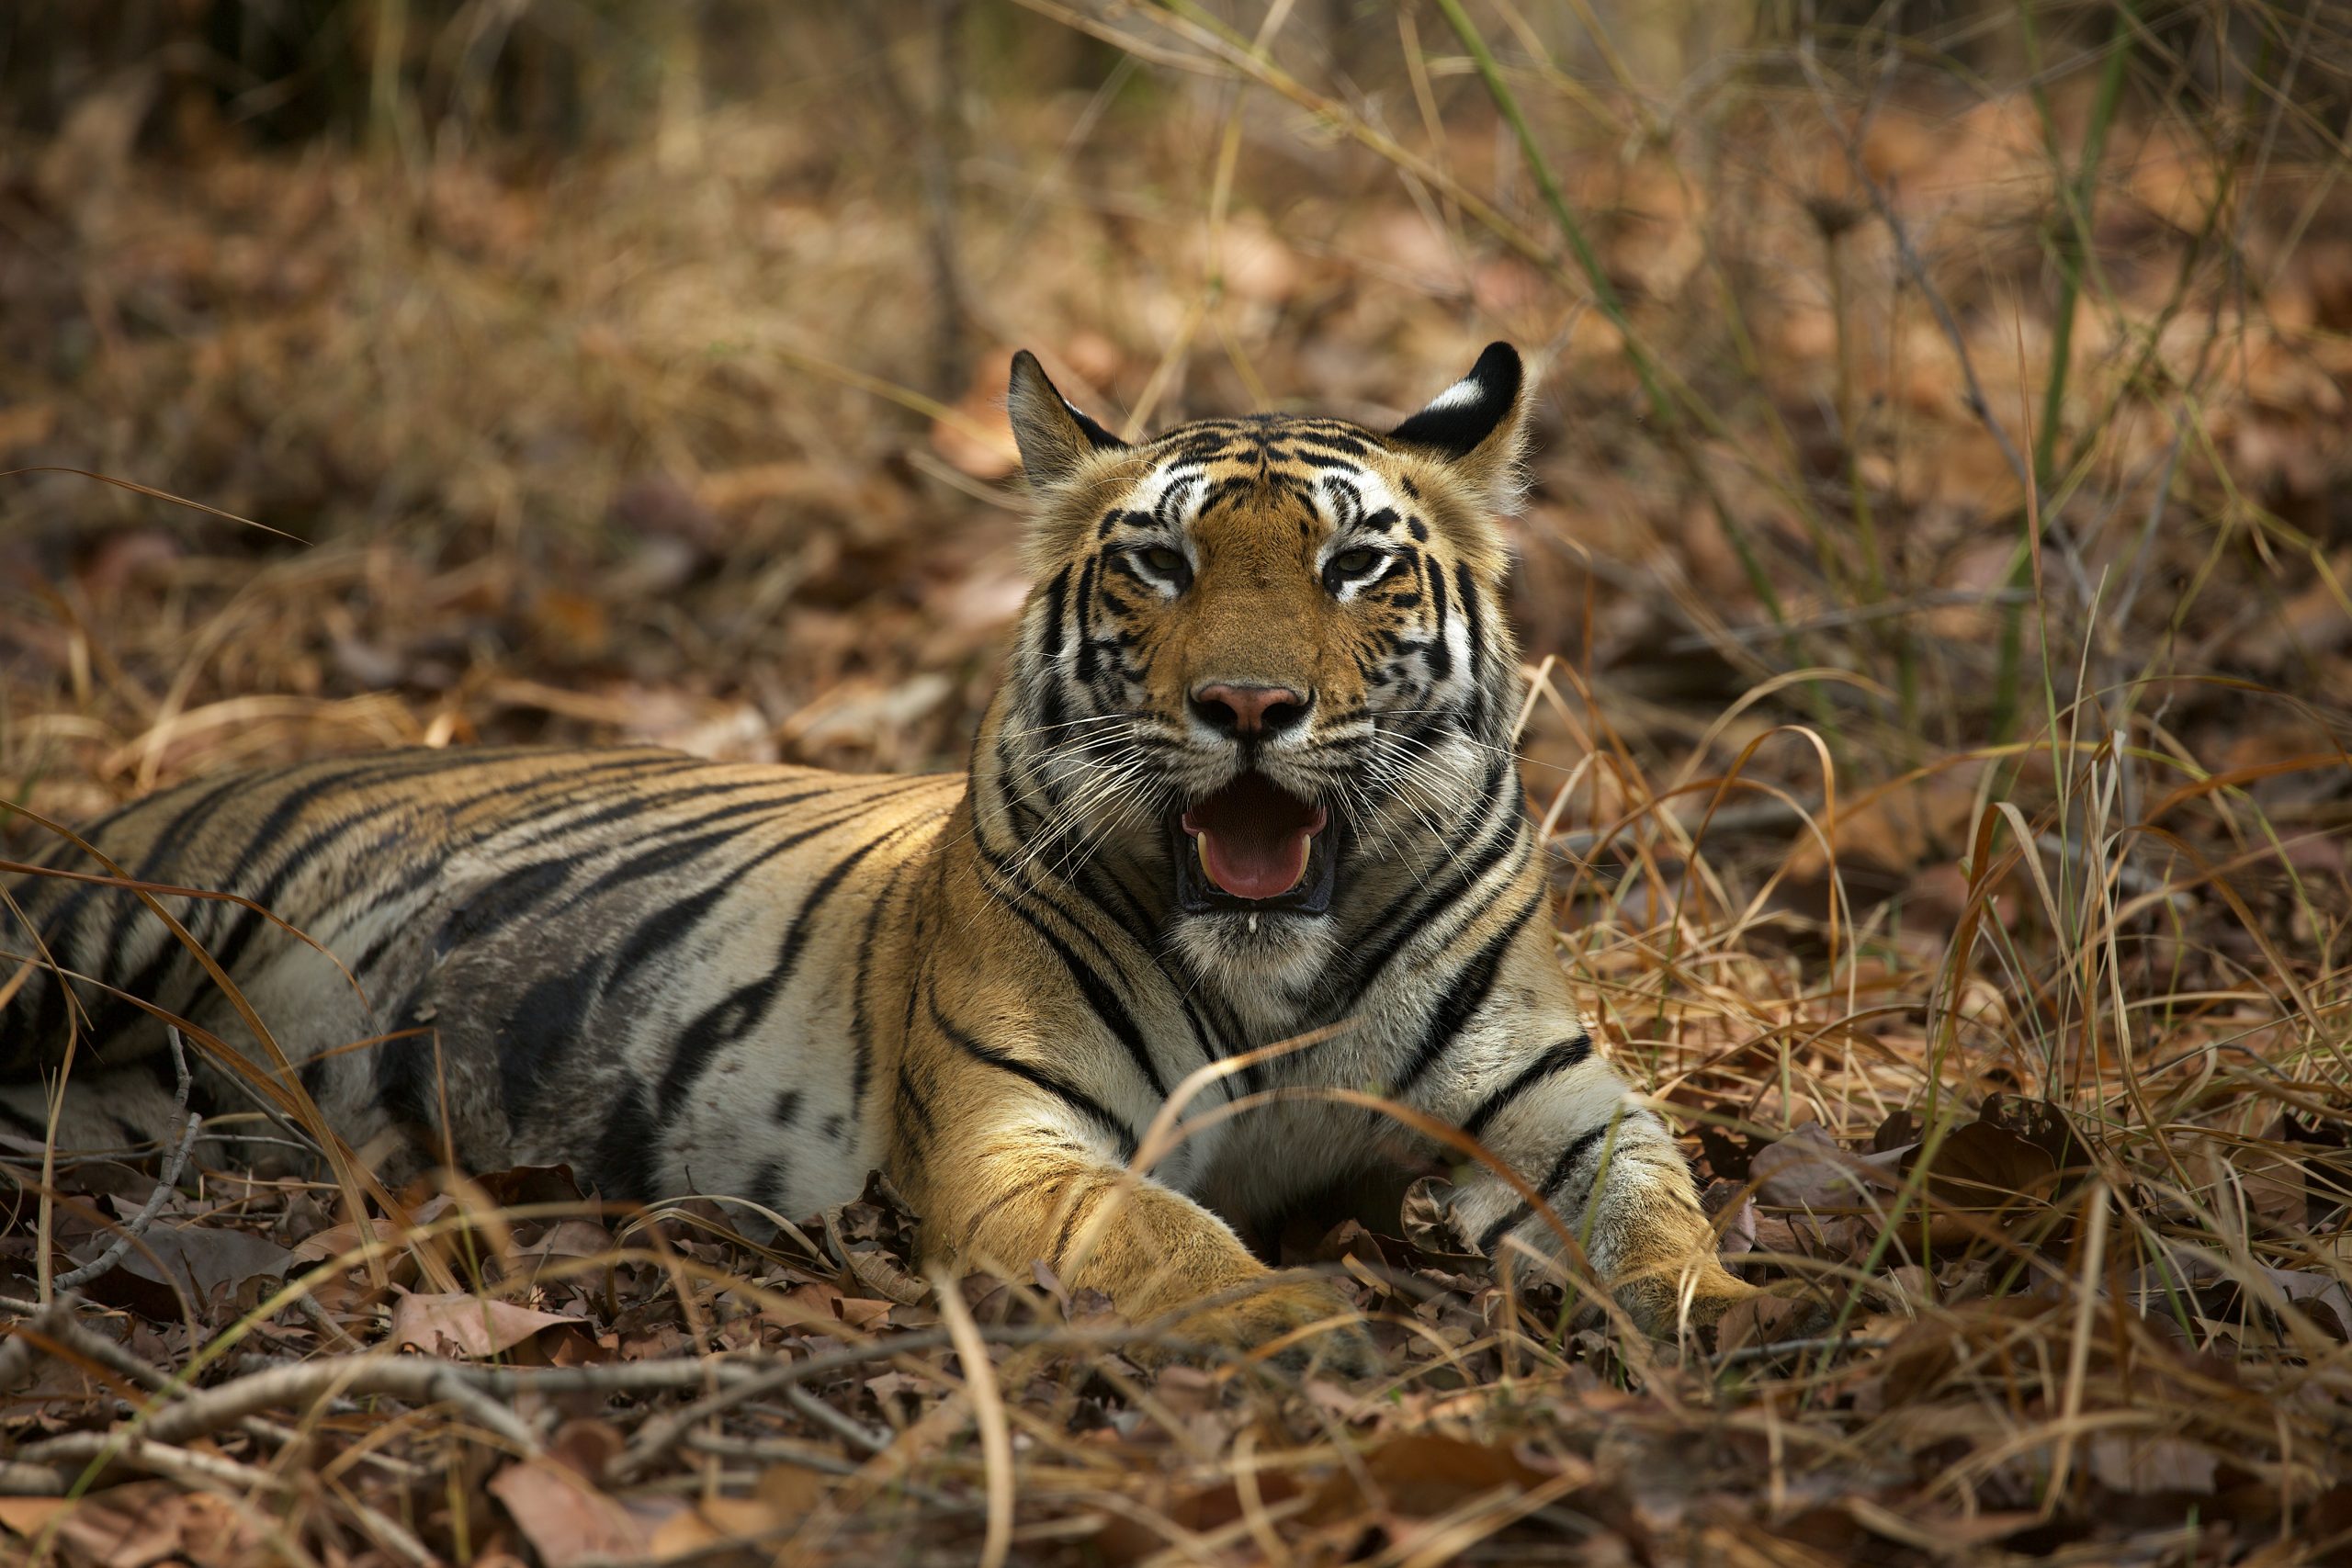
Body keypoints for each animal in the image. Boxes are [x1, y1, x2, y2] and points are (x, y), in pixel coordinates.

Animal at [0, 343, 1769, 1363]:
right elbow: (1171, 1235)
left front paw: (1749, 1313)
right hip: (78, 939)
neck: (1282, 986)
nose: (1251, 706)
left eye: (1351, 567)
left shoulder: (1560, 1106)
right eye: (1160, 561)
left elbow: (1656, 1211)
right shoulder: (1016, 1143)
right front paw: (1297, 1313)